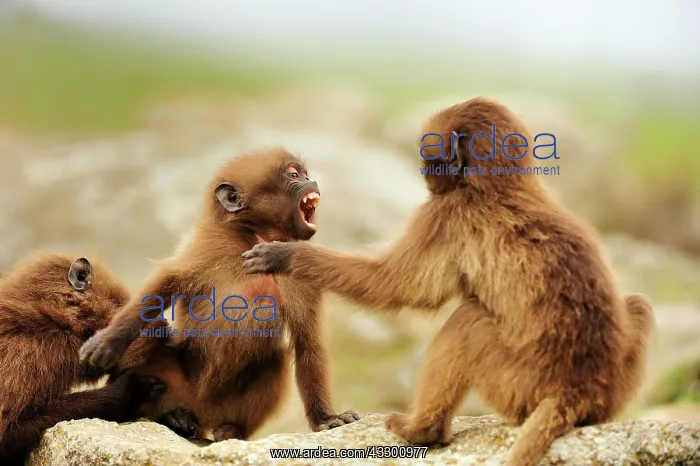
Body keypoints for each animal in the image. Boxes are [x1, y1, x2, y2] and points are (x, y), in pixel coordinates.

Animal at [78, 148, 360, 442]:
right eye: (294, 175)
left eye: (305, 175)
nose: (311, 181)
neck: (256, 238)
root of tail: (200, 411)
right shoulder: (211, 243)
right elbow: (164, 284)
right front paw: (109, 341)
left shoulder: (297, 263)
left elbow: (307, 340)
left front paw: (326, 418)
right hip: (172, 387)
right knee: (153, 332)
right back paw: (166, 416)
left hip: (223, 404)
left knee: (276, 359)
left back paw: (228, 429)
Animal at [240, 98, 655, 466]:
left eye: (430, 156)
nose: (425, 173)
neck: (501, 185)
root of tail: (577, 391)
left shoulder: (444, 214)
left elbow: (392, 285)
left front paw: (287, 256)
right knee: (638, 304)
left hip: (519, 387)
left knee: (467, 321)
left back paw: (422, 430)